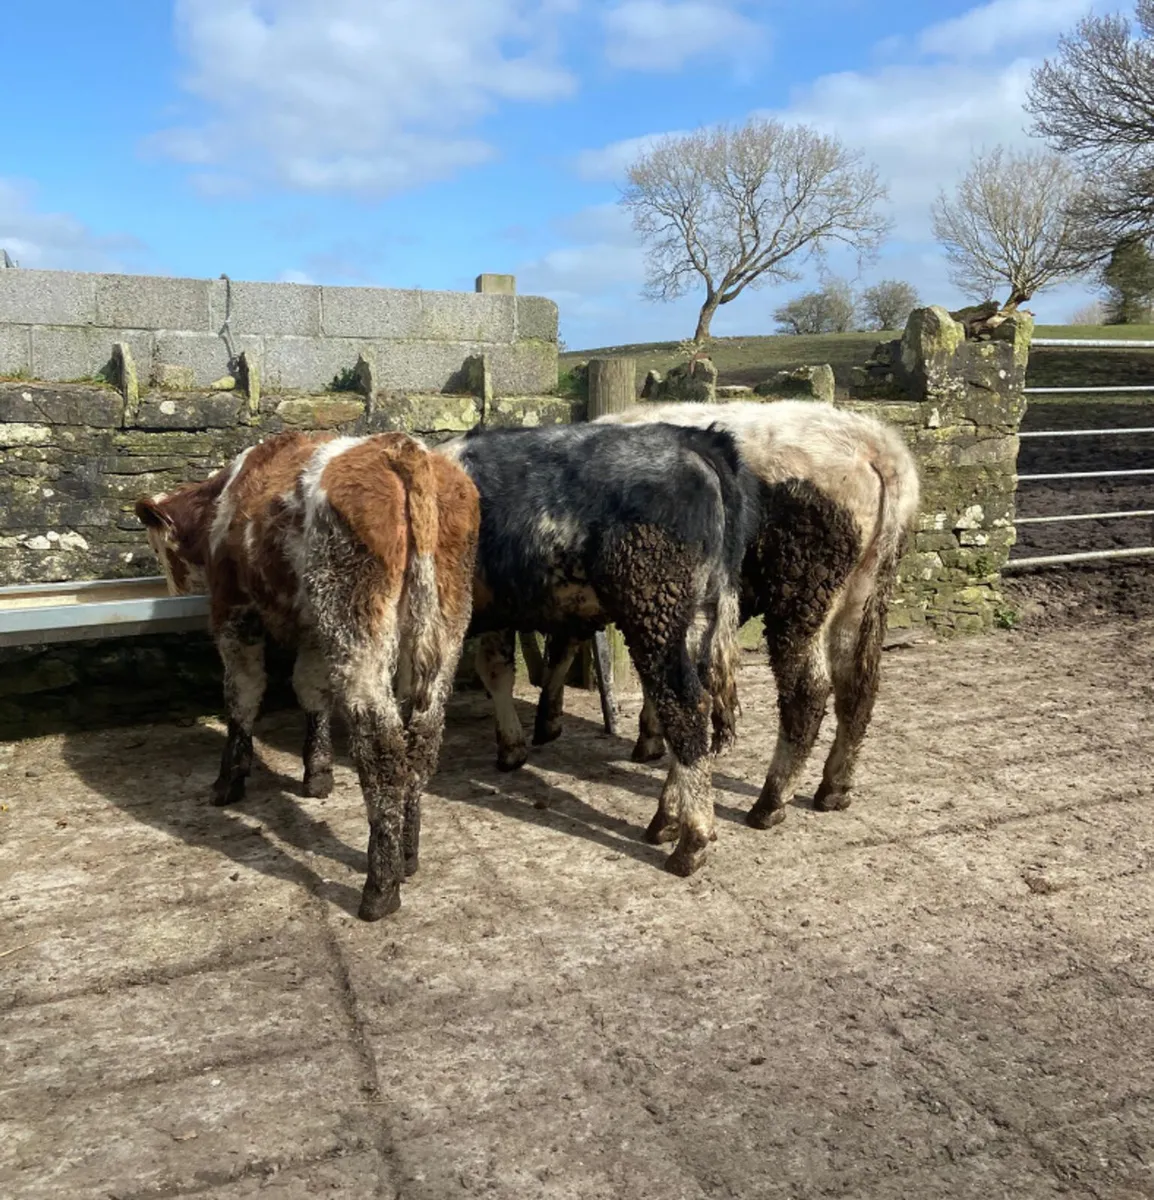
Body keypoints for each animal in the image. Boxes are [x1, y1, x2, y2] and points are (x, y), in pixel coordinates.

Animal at [134, 430, 481, 921]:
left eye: (156, 546)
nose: (170, 587)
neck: (227, 495)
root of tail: (400, 447)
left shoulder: (234, 612)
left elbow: (242, 694)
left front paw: (228, 780)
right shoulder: (314, 628)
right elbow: (310, 689)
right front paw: (316, 774)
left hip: (358, 629)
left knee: (382, 748)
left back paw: (380, 888)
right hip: (441, 630)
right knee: (422, 742)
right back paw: (407, 857)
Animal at [436, 420, 759, 876]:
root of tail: (694, 440)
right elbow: (497, 668)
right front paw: (512, 746)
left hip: (653, 604)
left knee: (684, 705)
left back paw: (691, 840)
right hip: (695, 614)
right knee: (692, 700)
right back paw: (667, 819)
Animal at [532, 399, 921, 830]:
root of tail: (875, 447)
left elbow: (565, 649)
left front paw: (548, 720)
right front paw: (649, 737)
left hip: (801, 589)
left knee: (807, 690)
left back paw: (769, 802)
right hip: (866, 590)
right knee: (859, 686)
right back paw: (834, 788)